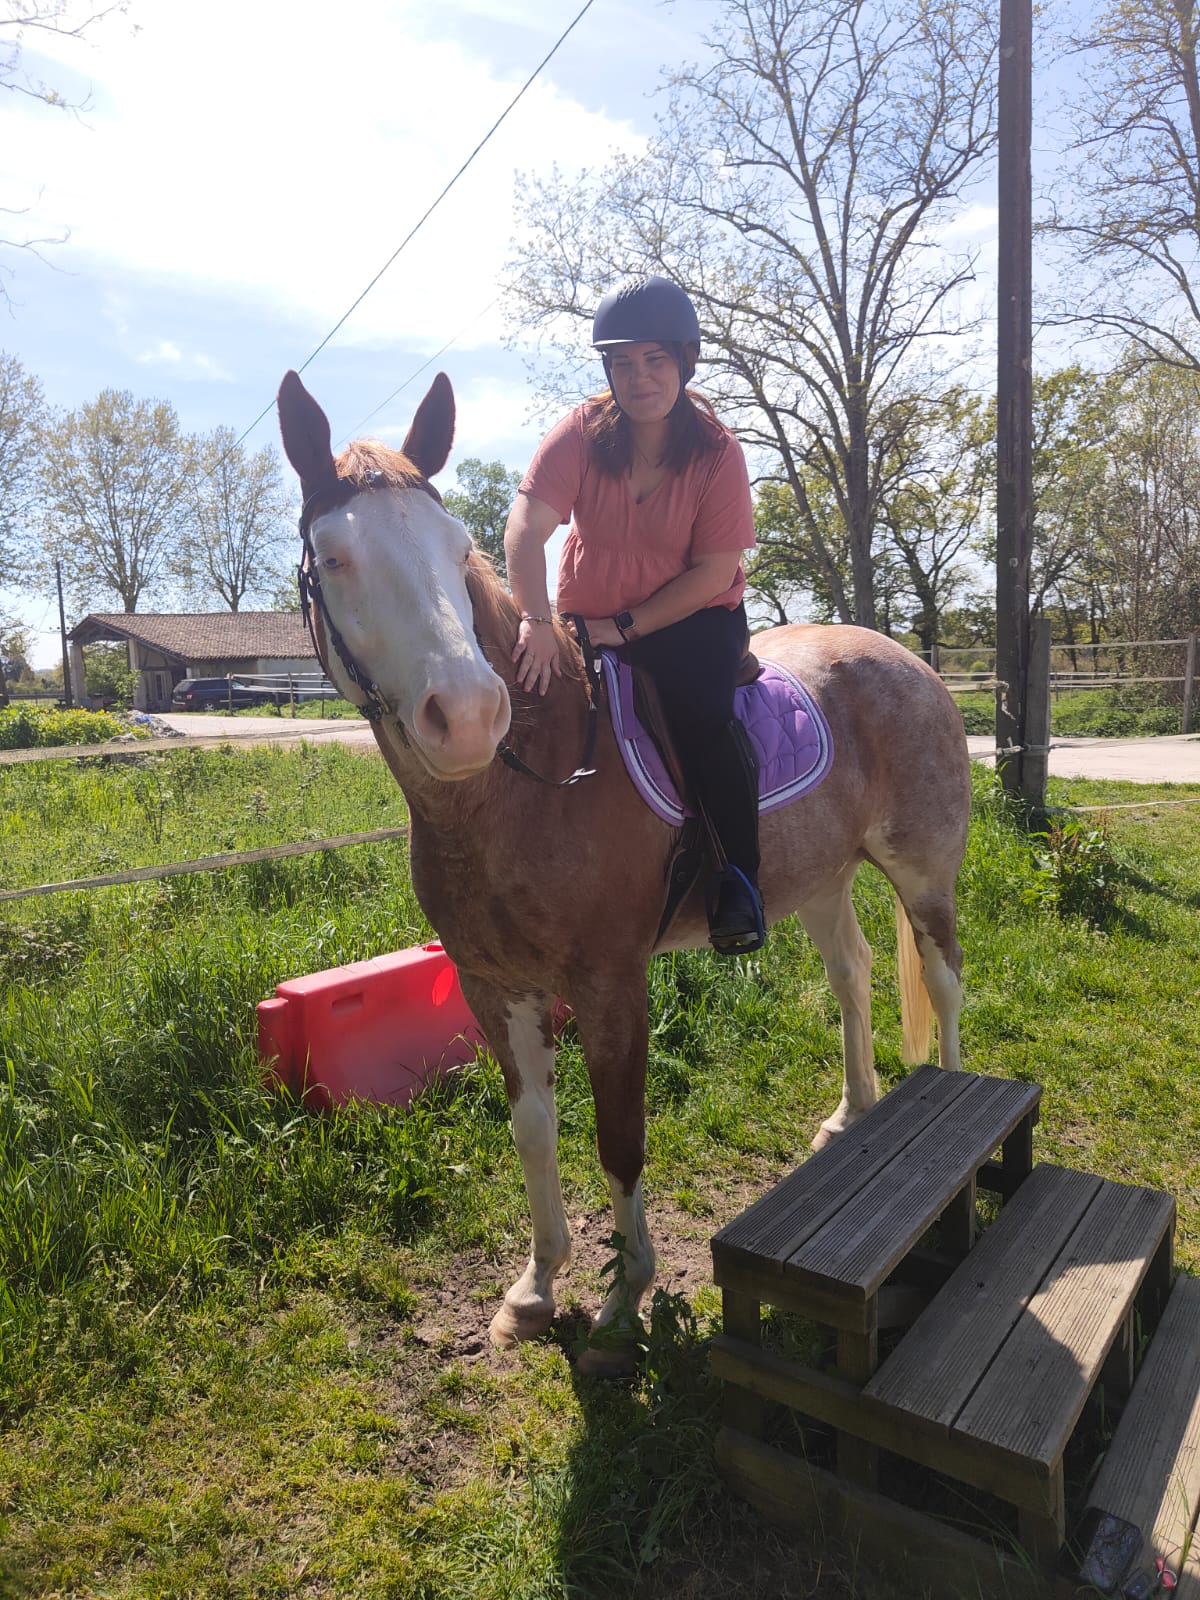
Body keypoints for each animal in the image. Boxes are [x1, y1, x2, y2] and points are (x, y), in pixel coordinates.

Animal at [276, 366, 972, 1376]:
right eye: (333, 557)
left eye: (455, 549)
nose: (469, 714)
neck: (526, 784)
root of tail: (907, 660)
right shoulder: (495, 987)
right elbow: (534, 1132)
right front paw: (537, 1287)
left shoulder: (612, 986)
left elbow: (618, 1139)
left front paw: (622, 1302)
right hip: (820, 880)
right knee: (854, 975)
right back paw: (851, 1117)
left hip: (922, 874)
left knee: (946, 982)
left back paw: (953, 1105)